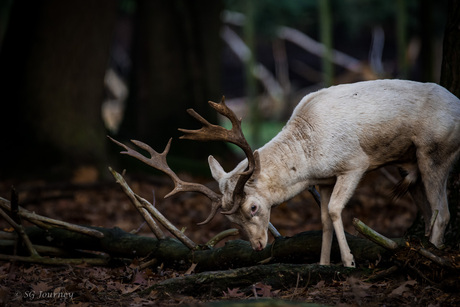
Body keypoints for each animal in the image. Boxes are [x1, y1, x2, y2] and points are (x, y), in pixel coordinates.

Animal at [112, 80, 460, 270]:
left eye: (253, 207)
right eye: (231, 219)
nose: (256, 247)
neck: (310, 161)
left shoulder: (355, 163)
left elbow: (336, 210)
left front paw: (348, 262)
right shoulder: (324, 179)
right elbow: (323, 218)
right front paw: (323, 264)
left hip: (435, 150)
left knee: (442, 211)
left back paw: (434, 254)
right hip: (409, 162)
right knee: (429, 210)